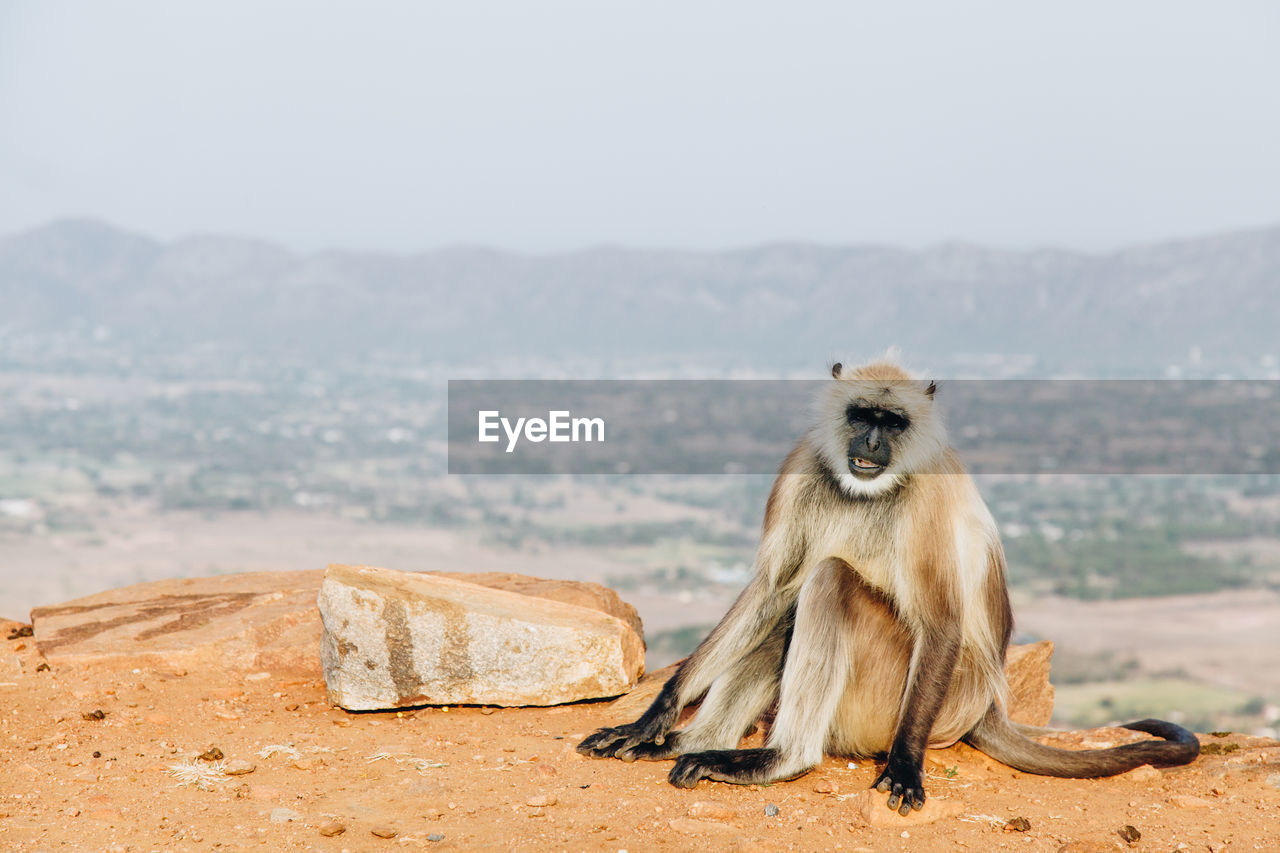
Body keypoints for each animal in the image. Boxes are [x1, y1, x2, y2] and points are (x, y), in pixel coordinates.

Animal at [581, 356, 1198, 809]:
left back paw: (780, 759)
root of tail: (983, 706)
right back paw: (688, 742)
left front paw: (903, 765)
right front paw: (656, 715)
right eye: (862, 415)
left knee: (828, 580)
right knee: (789, 606)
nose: (873, 443)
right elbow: (772, 588)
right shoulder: (804, 458)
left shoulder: (925, 493)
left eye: (893, 422)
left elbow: (941, 621)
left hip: (905, 703)